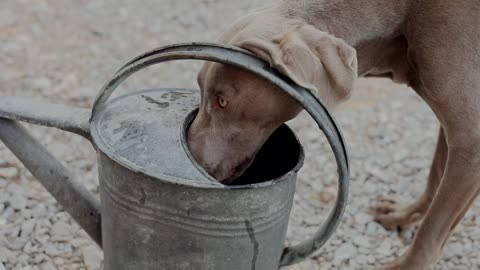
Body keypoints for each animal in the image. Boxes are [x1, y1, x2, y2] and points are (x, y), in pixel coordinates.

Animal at [187, 1, 480, 268]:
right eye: (200, 88)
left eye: (222, 101)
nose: (189, 155)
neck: (403, 16)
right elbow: (435, 177)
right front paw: (404, 215)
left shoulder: (470, 141)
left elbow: (433, 227)